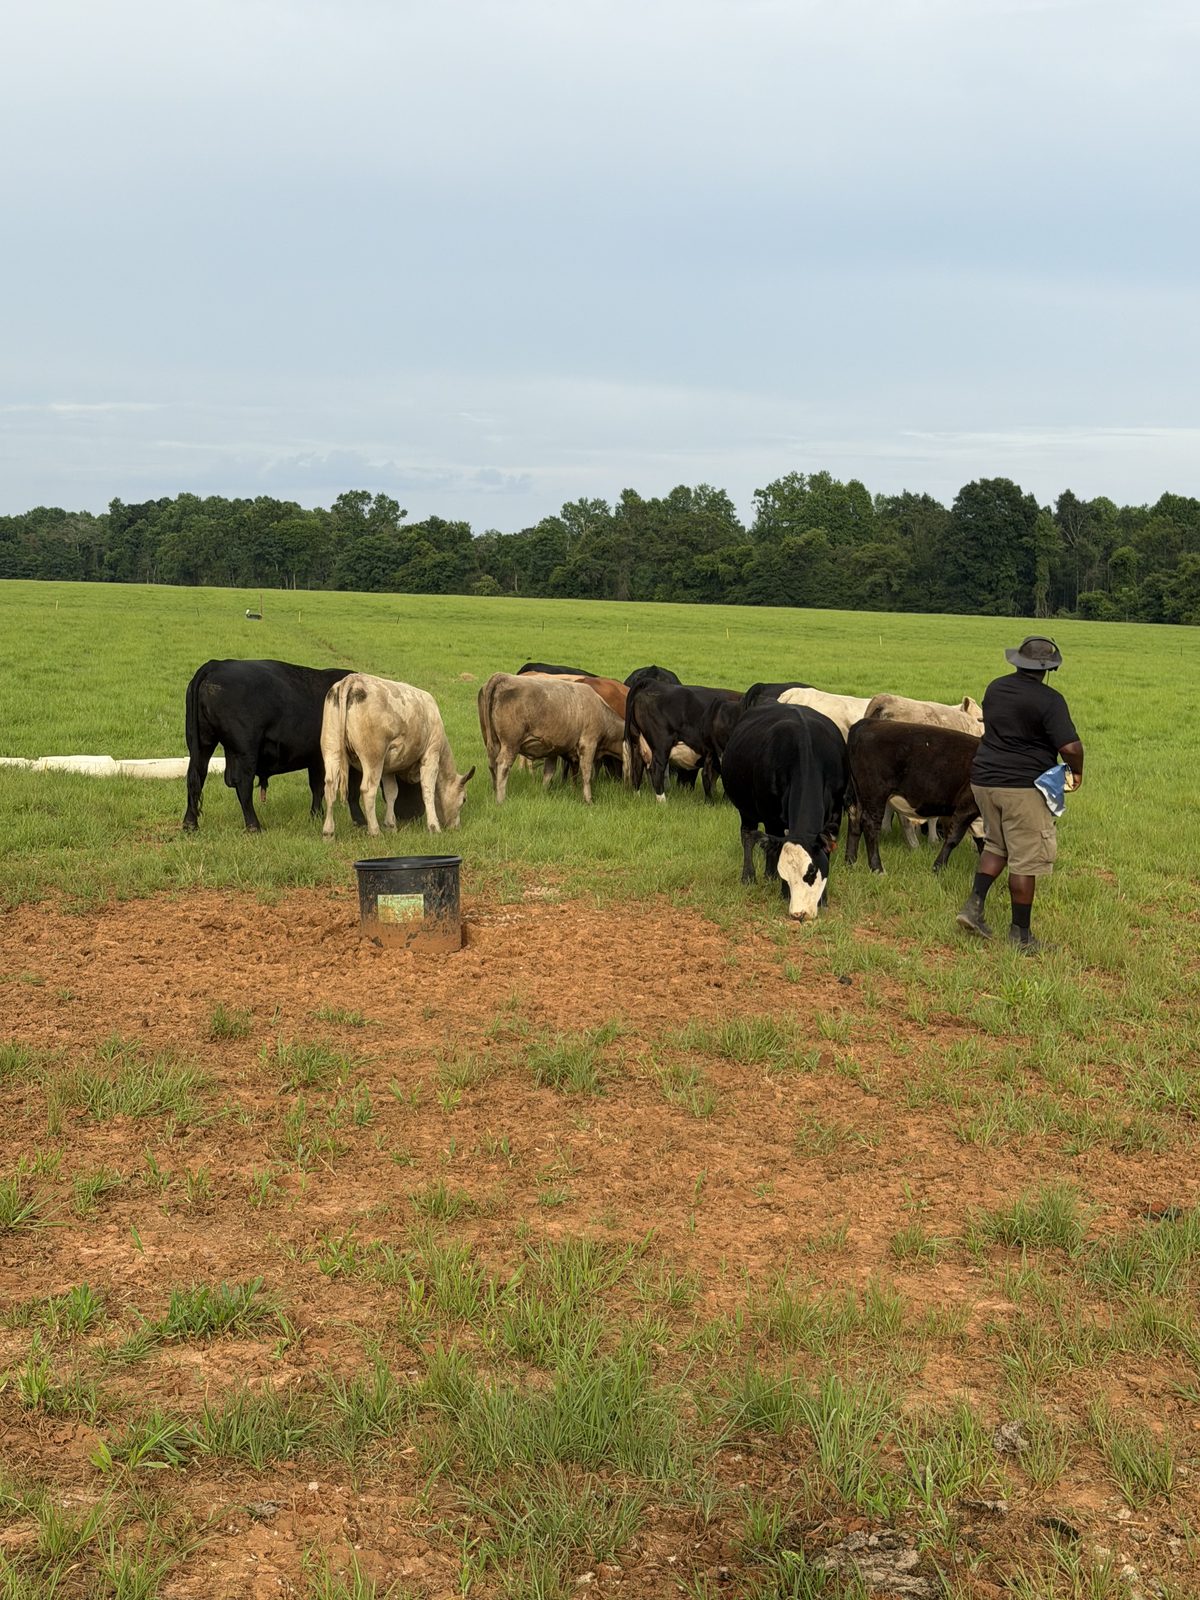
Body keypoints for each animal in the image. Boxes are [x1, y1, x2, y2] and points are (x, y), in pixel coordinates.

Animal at [182, 659, 366, 832]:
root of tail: (216, 664)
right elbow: (352, 791)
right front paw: (360, 822)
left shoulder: (316, 759)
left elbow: (317, 787)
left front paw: (316, 816)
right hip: (245, 750)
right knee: (242, 782)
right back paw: (254, 826)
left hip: (202, 743)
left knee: (196, 776)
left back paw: (190, 824)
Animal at [320, 675, 474, 838]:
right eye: (464, 799)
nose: (455, 827)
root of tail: (353, 679)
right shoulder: (431, 755)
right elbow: (428, 790)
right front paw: (434, 827)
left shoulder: (389, 768)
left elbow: (391, 793)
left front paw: (391, 825)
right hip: (373, 757)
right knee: (368, 790)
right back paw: (374, 831)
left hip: (331, 749)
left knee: (330, 787)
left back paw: (328, 832)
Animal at [477, 673, 625, 804]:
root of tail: (503, 676)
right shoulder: (588, 743)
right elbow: (586, 772)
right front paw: (588, 799)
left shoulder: (554, 750)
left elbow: (551, 773)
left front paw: (546, 792)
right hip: (510, 744)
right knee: (503, 765)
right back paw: (500, 799)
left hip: (491, 742)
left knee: (492, 765)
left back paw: (494, 791)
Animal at [720, 703, 849, 921]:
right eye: (785, 876)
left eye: (811, 872)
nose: (799, 913)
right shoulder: (772, 818)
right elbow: (773, 846)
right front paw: (780, 888)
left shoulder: (835, 815)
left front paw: (824, 900)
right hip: (746, 809)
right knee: (748, 836)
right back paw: (750, 876)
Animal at [846, 720, 982, 875]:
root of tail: (869, 722)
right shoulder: (967, 805)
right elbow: (953, 838)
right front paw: (938, 868)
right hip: (875, 792)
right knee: (870, 823)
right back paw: (878, 869)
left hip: (859, 793)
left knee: (855, 819)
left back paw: (851, 863)